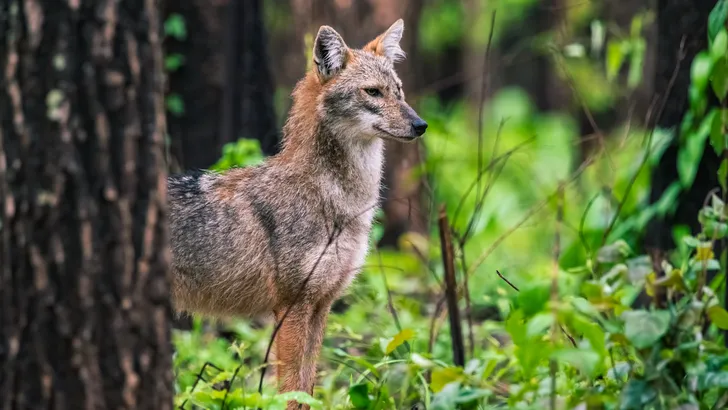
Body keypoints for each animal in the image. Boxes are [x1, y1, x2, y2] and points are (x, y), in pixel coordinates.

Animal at [168, 19, 426, 409]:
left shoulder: (321, 305)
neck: (337, 202)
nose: (420, 125)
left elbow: (308, 387)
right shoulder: (292, 306)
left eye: (399, 91)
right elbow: (290, 390)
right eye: (373, 92)